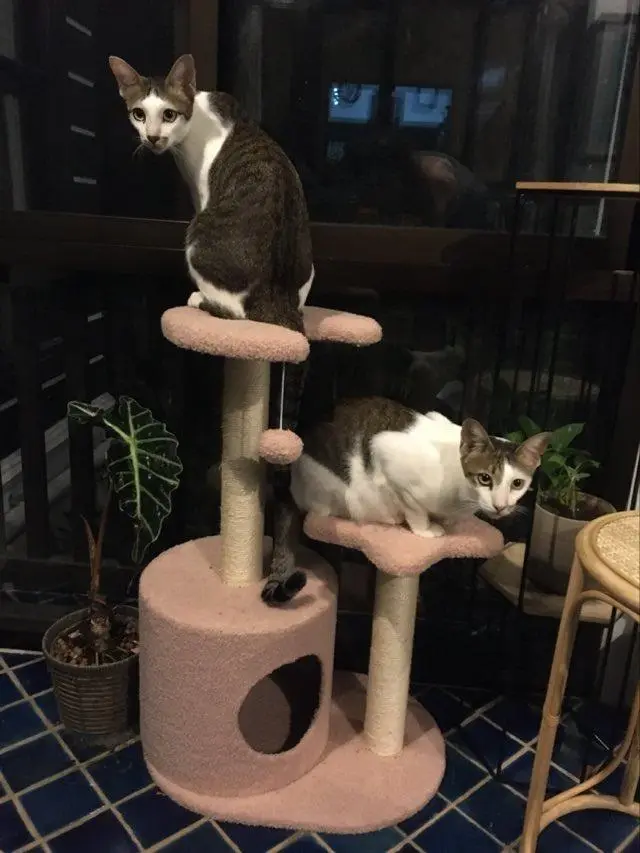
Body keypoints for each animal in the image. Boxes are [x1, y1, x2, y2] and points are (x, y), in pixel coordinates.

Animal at [109, 54, 312, 603]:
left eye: (168, 114)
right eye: (138, 113)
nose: (154, 137)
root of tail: (279, 296)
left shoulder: (200, 195)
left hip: (197, 237)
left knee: (234, 311)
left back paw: (199, 300)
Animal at [265, 397, 551, 603]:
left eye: (517, 484)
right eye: (484, 478)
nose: (500, 506)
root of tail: (290, 480)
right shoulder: (387, 453)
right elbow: (414, 507)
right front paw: (426, 529)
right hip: (344, 494)